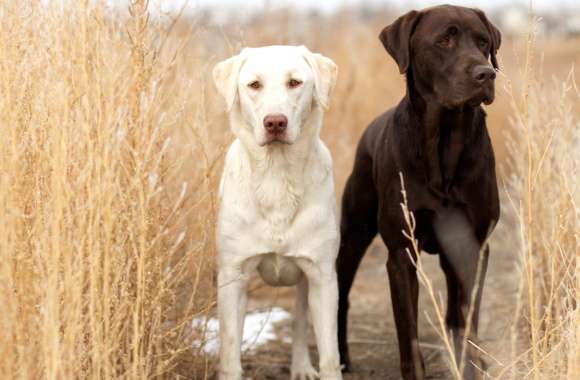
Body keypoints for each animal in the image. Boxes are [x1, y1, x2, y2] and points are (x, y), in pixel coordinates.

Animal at [212, 45, 340, 380]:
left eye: (295, 82)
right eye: (254, 85)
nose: (275, 123)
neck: (277, 176)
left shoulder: (322, 276)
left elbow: (330, 355)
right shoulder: (232, 276)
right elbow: (229, 351)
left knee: (300, 319)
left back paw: (301, 367)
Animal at [338, 5, 500, 380]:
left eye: (483, 43)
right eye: (444, 41)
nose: (486, 74)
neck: (444, 141)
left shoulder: (474, 245)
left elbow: (467, 315)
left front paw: (470, 363)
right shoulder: (401, 252)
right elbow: (407, 330)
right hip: (353, 234)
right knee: (340, 296)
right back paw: (340, 357)